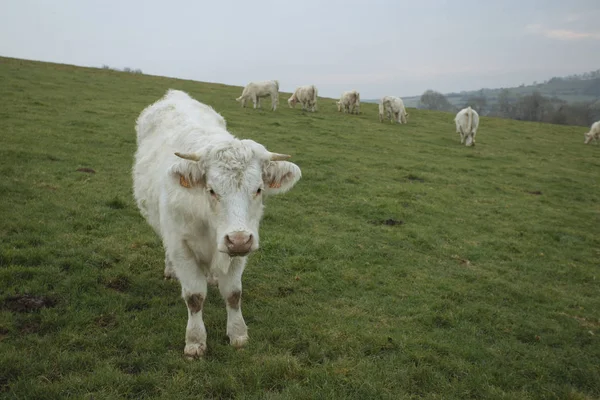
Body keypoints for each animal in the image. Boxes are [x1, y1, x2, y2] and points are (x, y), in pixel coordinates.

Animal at [131, 89, 300, 358]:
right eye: (211, 189)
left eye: (259, 189)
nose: (238, 240)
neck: (210, 225)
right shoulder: (181, 246)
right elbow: (194, 297)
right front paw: (195, 341)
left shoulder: (241, 247)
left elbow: (233, 294)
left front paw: (238, 334)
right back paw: (170, 271)